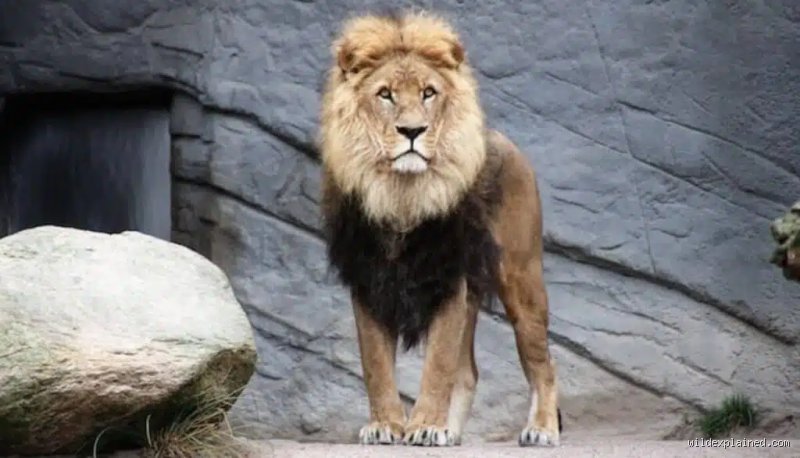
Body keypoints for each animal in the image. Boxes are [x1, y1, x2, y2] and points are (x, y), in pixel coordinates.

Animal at [318, 11, 561, 447]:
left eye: (428, 93)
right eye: (385, 95)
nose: (412, 131)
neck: (401, 194)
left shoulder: (448, 277)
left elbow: (437, 366)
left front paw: (426, 425)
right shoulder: (368, 280)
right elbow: (376, 364)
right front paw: (387, 425)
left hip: (522, 279)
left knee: (544, 365)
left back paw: (540, 429)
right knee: (469, 373)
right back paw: (453, 431)